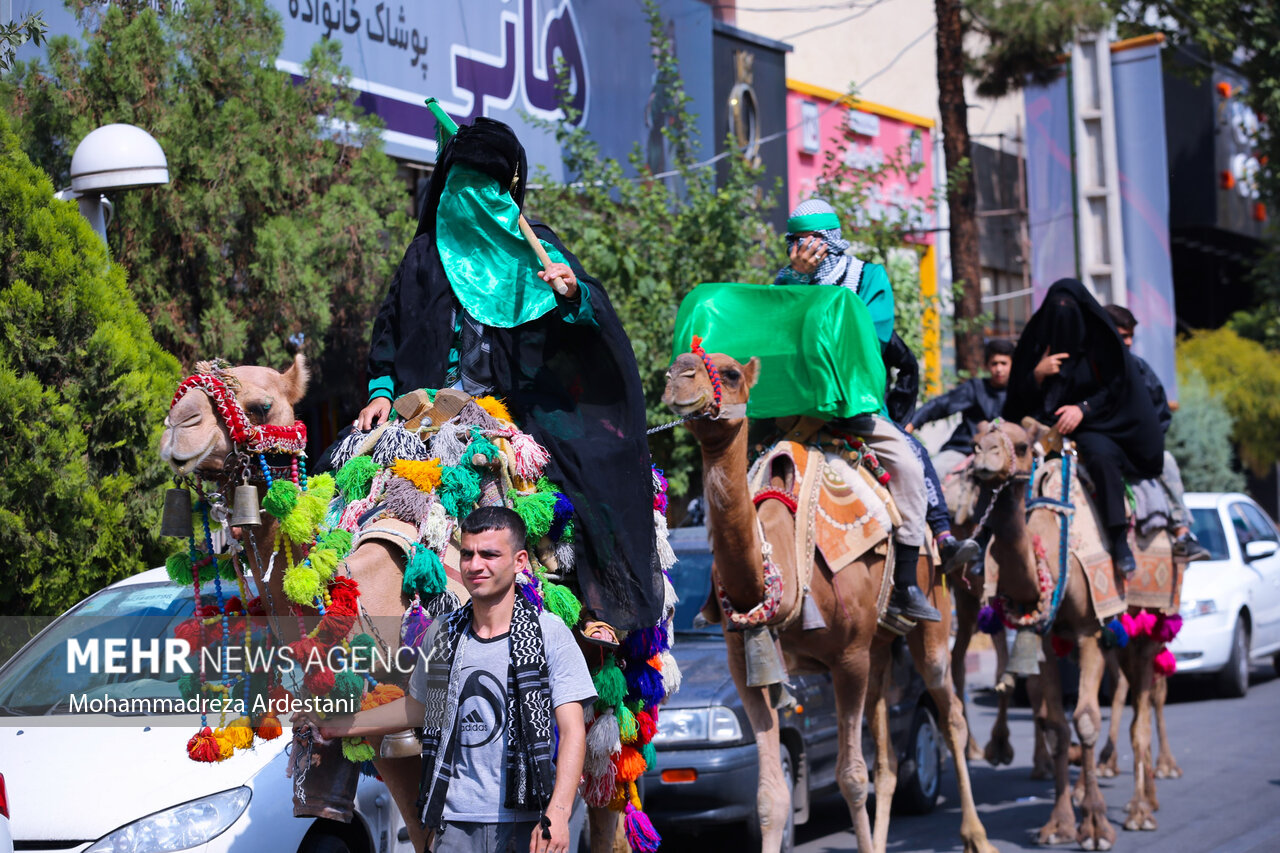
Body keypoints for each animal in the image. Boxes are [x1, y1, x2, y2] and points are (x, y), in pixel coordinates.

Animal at [665, 348, 993, 850]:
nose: (678, 378)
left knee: (949, 711)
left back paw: (976, 834)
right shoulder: (748, 669)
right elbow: (770, 796)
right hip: (880, 647)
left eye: (731, 373)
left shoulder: (848, 657)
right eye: (676, 362)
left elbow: (852, 777)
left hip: (931, 619)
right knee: (887, 749)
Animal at [967, 417, 1187, 845]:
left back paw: (1140, 809)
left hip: (1149, 622)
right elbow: (1056, 725)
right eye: (976, 438)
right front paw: (1061, 824)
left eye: (1021, 446)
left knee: (1145, 707)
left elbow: (1086, 720)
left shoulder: (1088, 631)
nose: (985, 455)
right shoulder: (1047, 638)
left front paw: (1097, 826)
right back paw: (1132, 797)